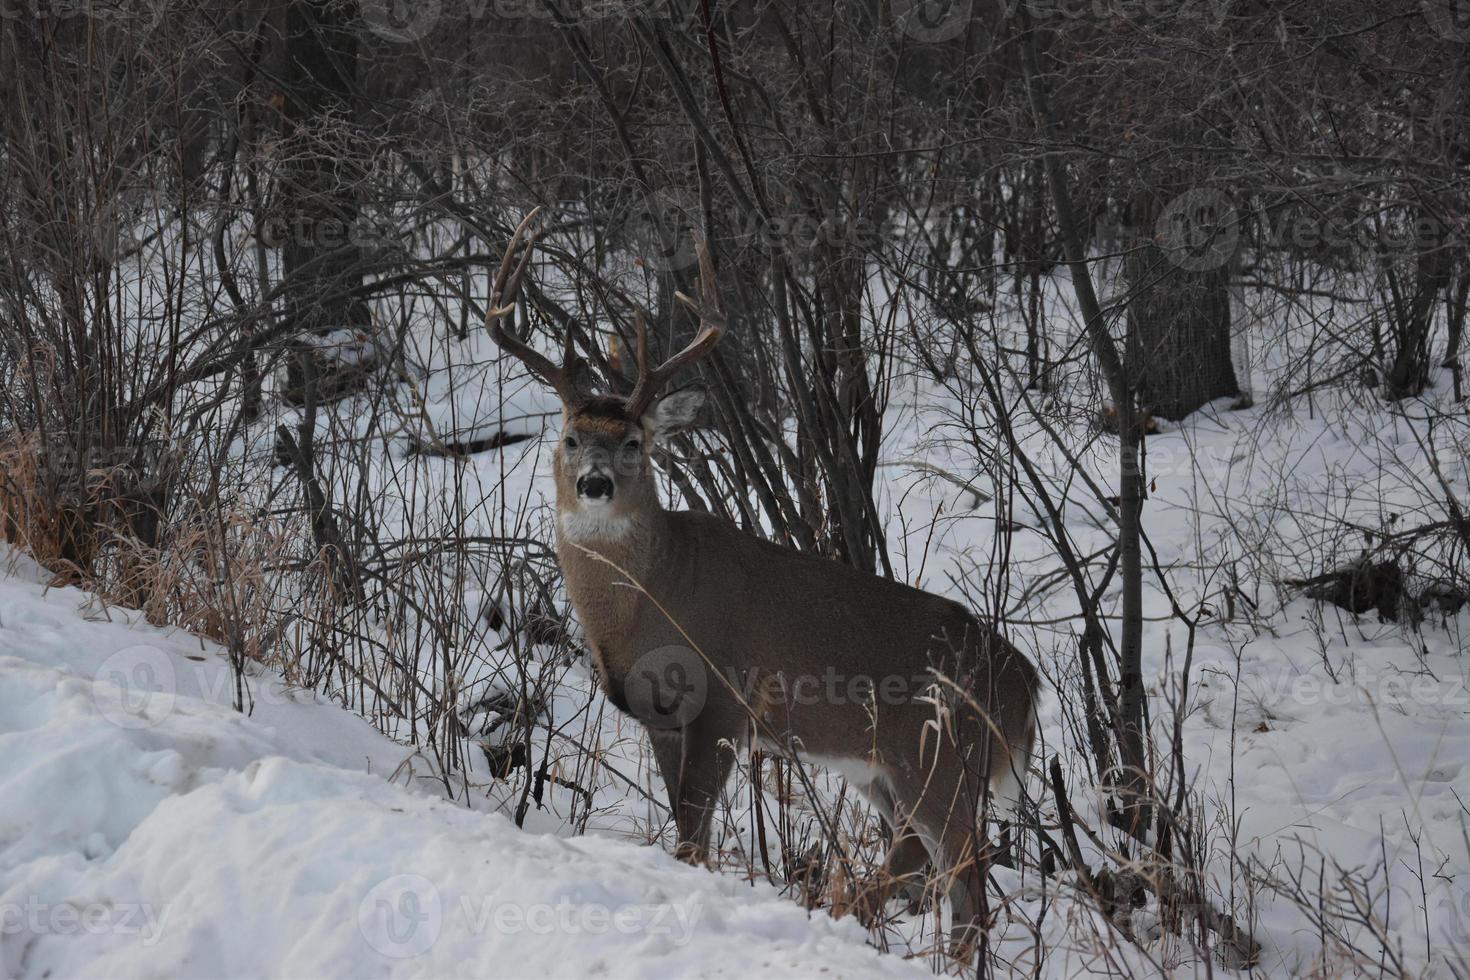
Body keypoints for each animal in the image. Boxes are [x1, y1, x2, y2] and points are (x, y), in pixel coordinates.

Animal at [488, 211, 1040, 952]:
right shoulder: (656, 715)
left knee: (960, 871)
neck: (647, 604)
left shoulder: (724, 698)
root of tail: (1027, 686)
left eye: (635, 443)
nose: (594, 484)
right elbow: (682, 821)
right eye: (571, 438)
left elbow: (692, 831)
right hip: (888, 767)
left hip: (942, 756)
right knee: (939, 868)